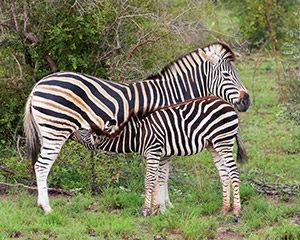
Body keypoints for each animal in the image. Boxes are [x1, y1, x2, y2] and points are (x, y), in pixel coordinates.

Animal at [72, 96, 241, 218]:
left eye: (86, 131)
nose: (72, 131)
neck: (138, 135)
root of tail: (228, 105)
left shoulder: (153, 151)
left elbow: (149, 180)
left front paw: (145, 211)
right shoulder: (159, 154)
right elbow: (157, 180)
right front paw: (157, 209)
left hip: (223, 142)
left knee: (234, 172)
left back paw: (236, 212)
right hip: (213, 145)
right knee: (224, 174)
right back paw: (225, 209)